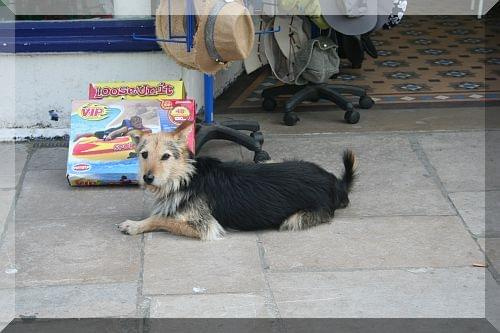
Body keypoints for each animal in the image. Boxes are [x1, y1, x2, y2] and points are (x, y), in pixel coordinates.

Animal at [119, 120, 358, 240]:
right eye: (144, 155)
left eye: (166, 157)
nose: (147, 178)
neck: (185, 177)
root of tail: (334, 181)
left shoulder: (205, 226)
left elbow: (162, 219)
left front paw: (135, 225)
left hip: (294, 219)